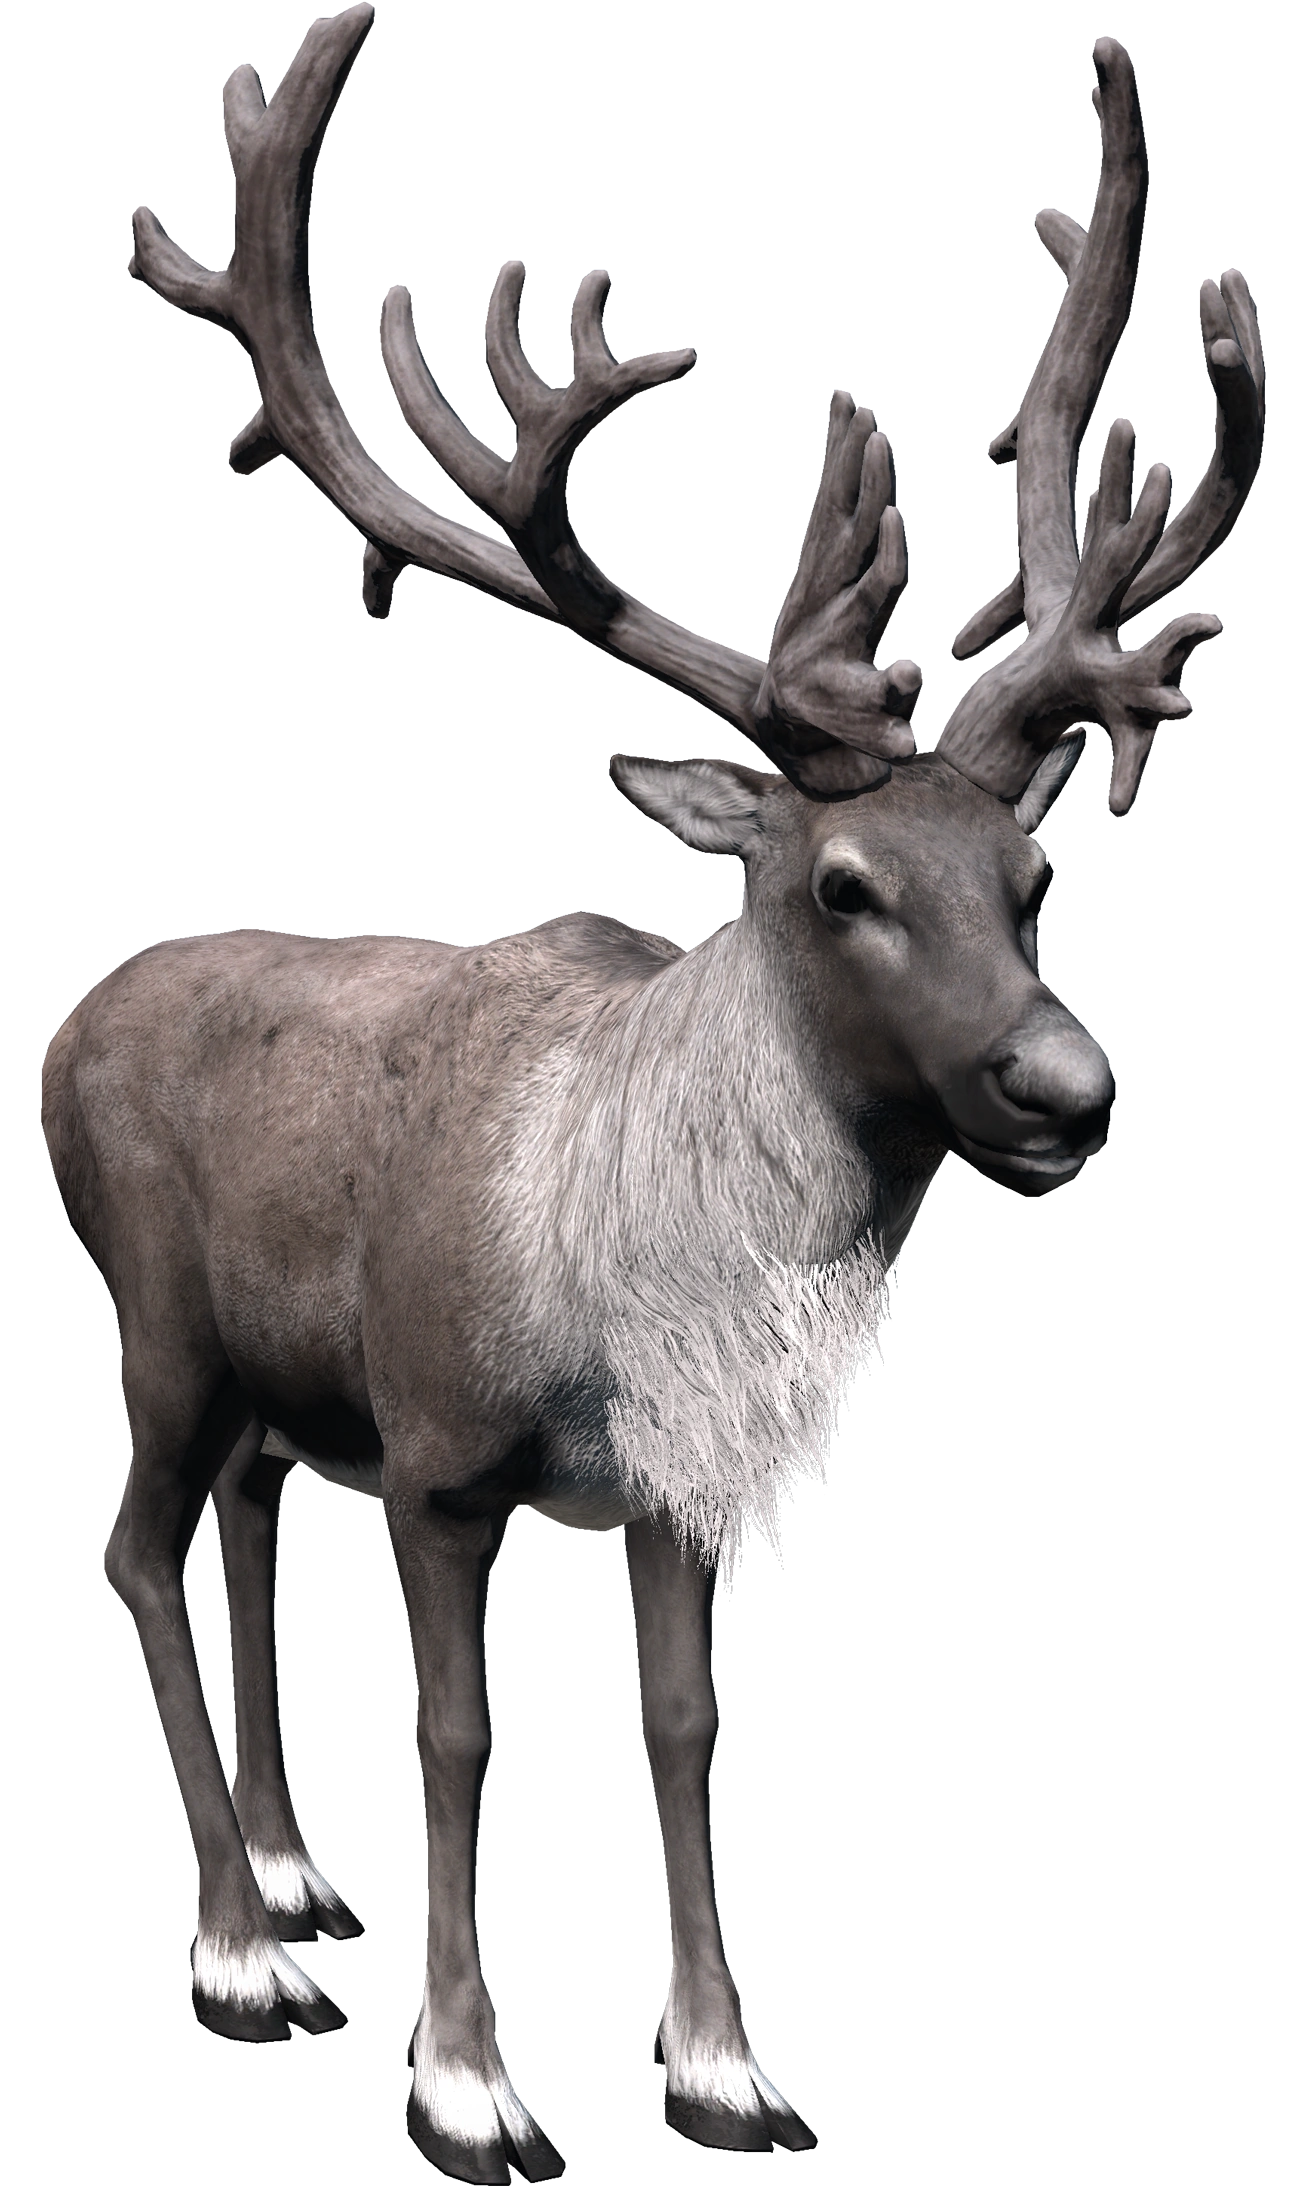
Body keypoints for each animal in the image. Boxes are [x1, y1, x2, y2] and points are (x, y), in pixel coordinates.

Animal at [42, 8, 1264, 2183]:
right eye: (840, 881)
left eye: (1033, 872)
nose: (1066, 1086)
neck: (642, 1286)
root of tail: (64, 1019)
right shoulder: (440, 1449)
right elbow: (458, 1731)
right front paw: (463, 2082)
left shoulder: (678, 1477)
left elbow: (685, 1728)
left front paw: (724, 2066)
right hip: (161, 1316)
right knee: (129, 1541)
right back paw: (237, 1950)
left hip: (277, 1367)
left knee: (239, 1516)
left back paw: (293, 1877)